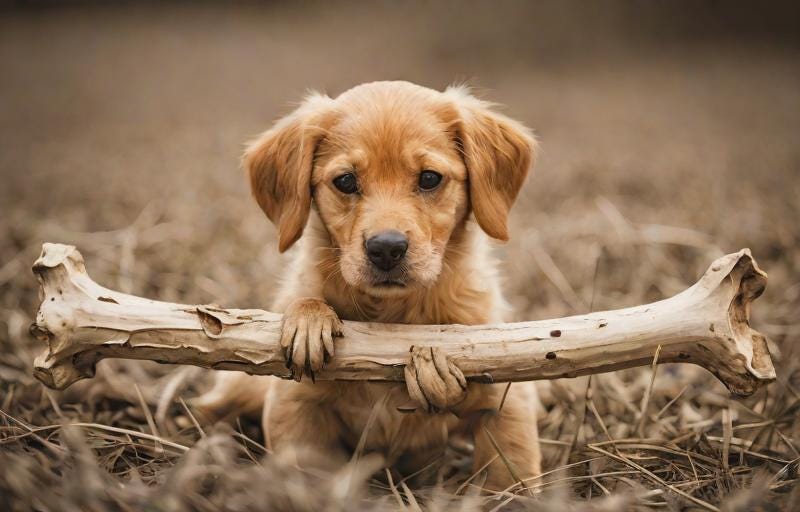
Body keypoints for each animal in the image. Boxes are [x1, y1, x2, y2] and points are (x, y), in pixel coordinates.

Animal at [197, 81, 540, 492]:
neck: (393, 315)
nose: (386, 248)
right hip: (244, 385)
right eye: (345, 181)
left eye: (429, 178)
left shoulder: (508, 397)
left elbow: (509, 472)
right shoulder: (295, 403)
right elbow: (304, 473)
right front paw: (309, 320)